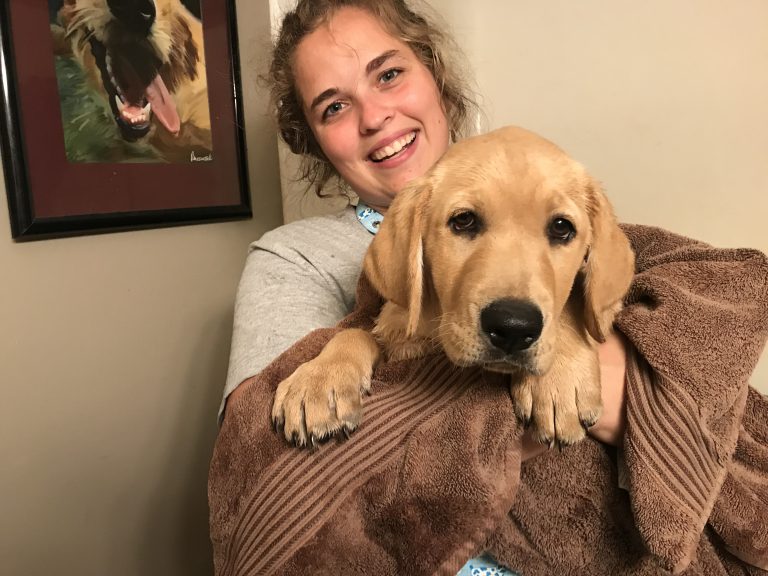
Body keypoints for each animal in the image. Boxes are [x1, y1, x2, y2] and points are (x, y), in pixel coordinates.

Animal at [272, 126, 632, 450]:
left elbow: (572, 306)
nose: (513, 327)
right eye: (463, 220)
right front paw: (319, 381)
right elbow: (354, 332)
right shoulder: (397, 337)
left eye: (561, 227)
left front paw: (559, 379)